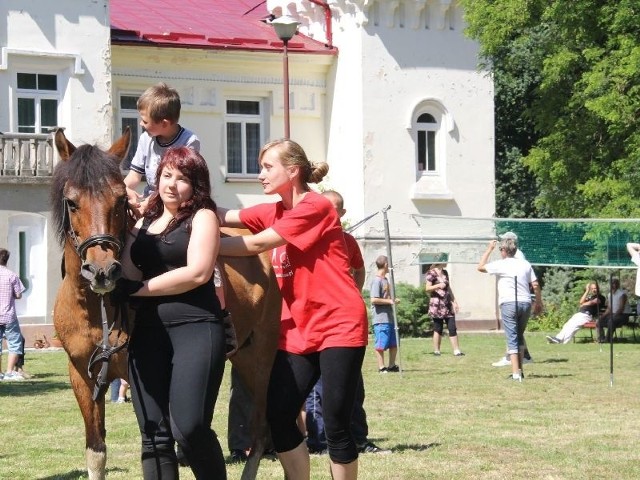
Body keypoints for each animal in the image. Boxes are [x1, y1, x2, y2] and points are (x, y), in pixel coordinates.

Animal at [51, 128, 278, 480]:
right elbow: (96, 452)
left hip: (260, 358)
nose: (103, 271)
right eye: (72, 202)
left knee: (259, 431)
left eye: (121, 200)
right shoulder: (82, 375)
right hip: (240, 356)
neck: (95, 311)